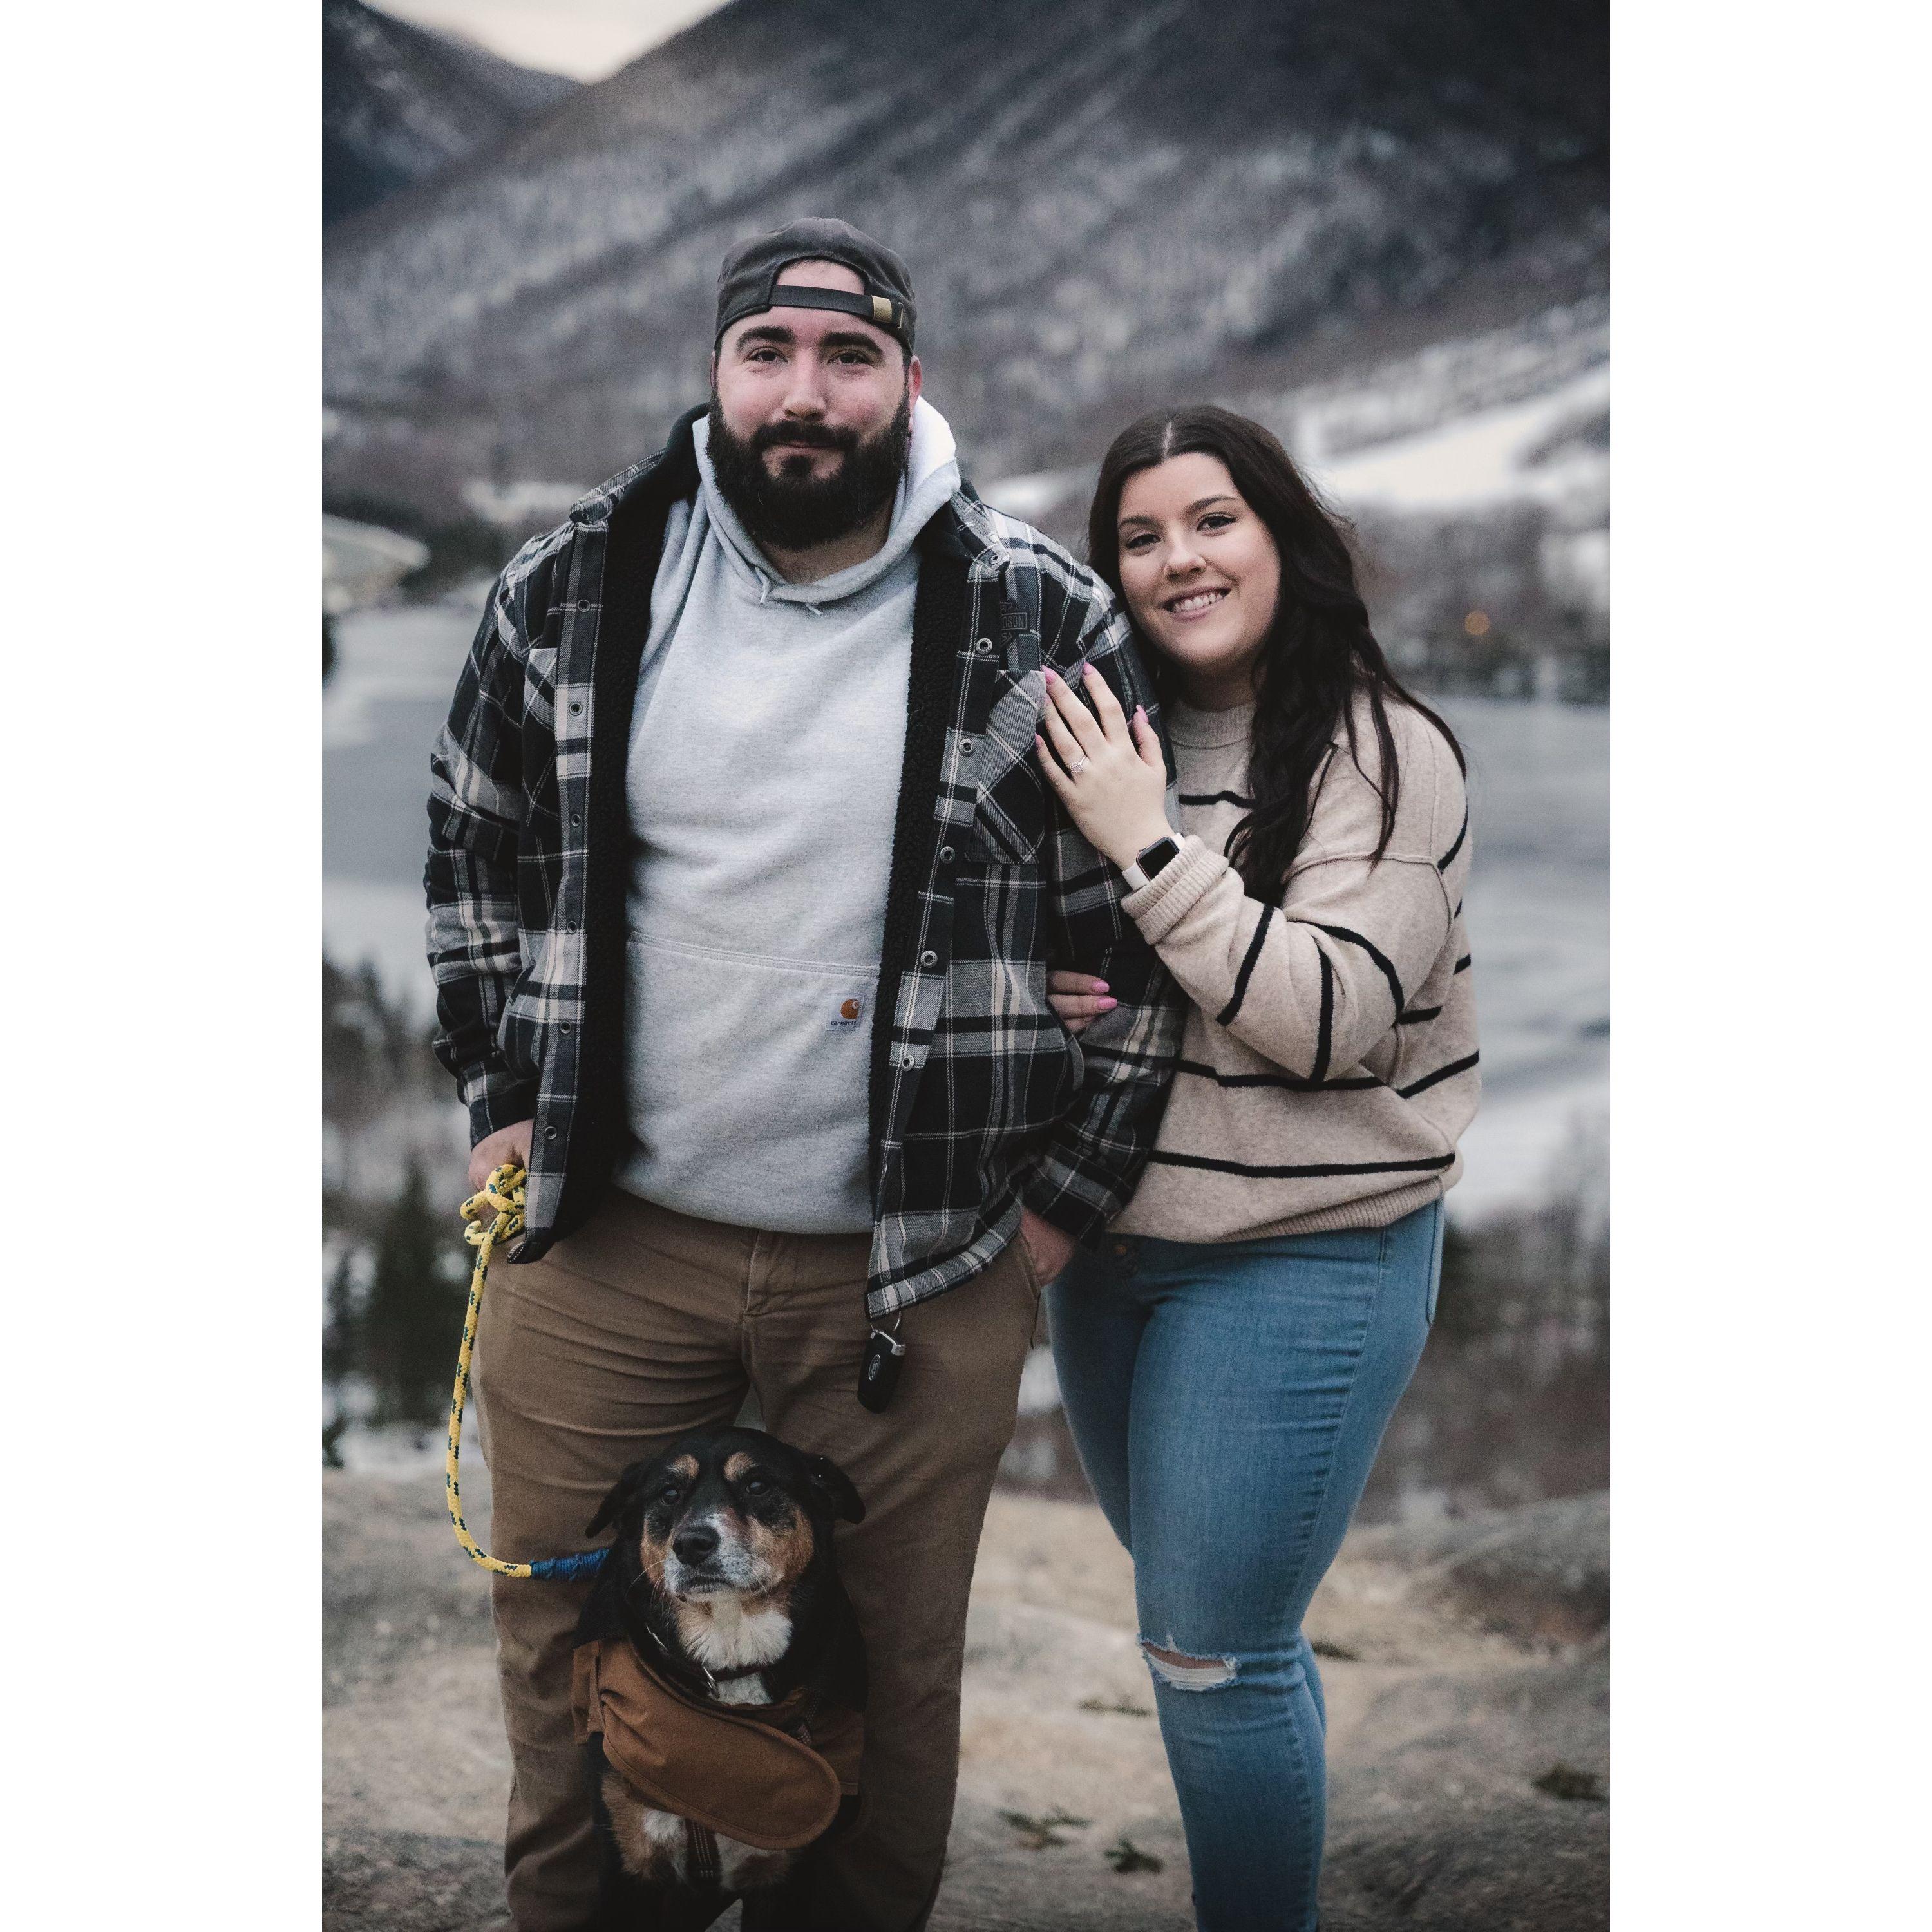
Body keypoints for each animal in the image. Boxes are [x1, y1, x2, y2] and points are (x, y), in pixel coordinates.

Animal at [573, 1426, 868, 1914]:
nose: (692, 1544)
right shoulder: (629, 1861)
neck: (730, 1659)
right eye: (669, 1493)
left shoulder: (785, 1876)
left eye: (758, 1485)